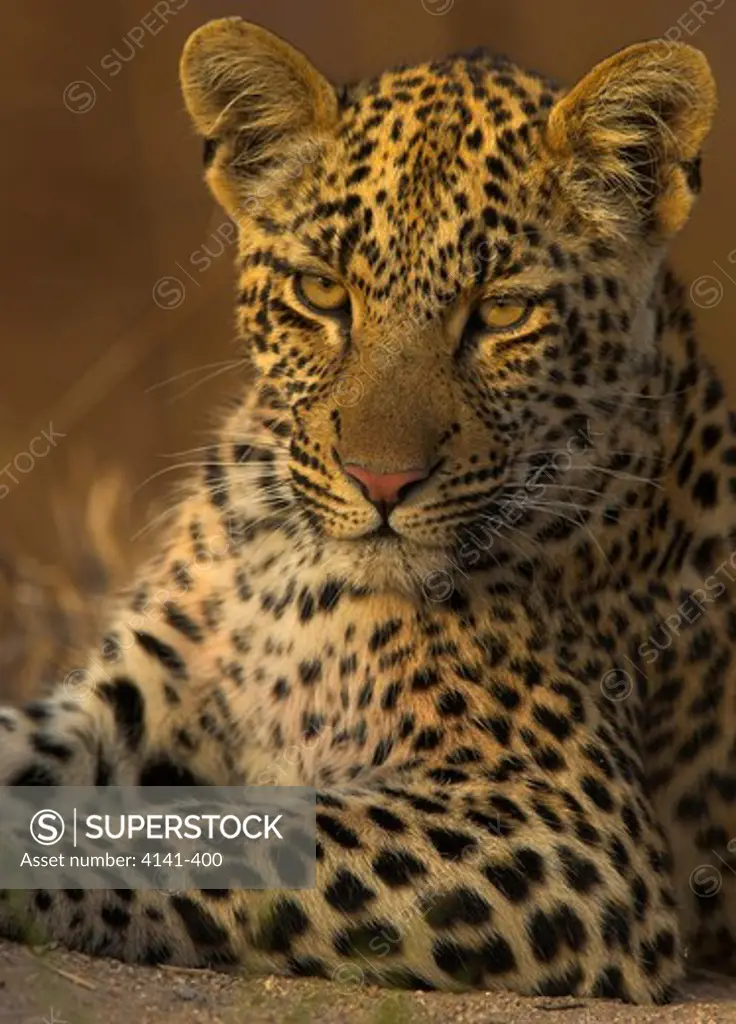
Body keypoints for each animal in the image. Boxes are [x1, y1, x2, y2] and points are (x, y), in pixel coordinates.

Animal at [1, 16, 736, 1003]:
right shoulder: (128, 703)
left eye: (503, 312)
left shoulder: (569, 827)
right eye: (322, 292)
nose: (380, 484)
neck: (291, 566)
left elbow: (216, 831)